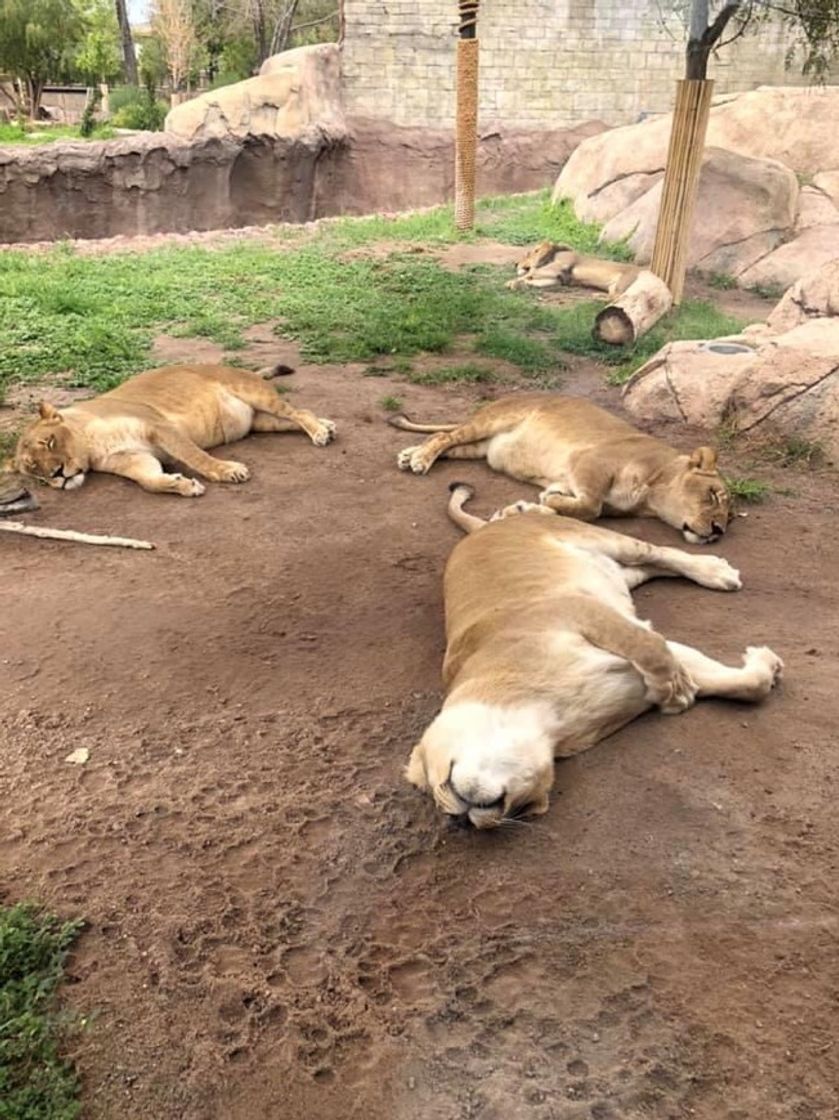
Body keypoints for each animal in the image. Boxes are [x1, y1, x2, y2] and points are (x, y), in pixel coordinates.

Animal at [12, 362, 333, 499]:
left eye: (50, 442)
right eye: (35, 471)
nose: (57, 476)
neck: (91, 447)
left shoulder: (159, 426)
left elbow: (195, 456)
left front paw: (229, 471)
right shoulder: (132, 459)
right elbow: (148, 481)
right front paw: (182, 484)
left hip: (255, 394)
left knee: (298, 412)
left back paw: (320, 433)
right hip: (261, 421)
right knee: (296, 418)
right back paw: (327, 426)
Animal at [392, 394, 725, 546]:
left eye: (730, 517)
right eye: (713, 495)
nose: (719, 531)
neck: (650, 498)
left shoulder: (582, 488)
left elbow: (574, 511)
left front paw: (525, 509)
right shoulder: (591, 460)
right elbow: (591, 508)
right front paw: (544, 502)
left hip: (480, 448)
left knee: (445, 441)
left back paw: (410, 455)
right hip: (490, 422)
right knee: (444, 436)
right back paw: (420, 460)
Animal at [405, 483, 784, 833]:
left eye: (442, 782)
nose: (459, 821)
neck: (547, 722)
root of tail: (479, 530)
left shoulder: (575, 609)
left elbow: (649, 647)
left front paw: (673, 690)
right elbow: (746, 684)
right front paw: (762, 665)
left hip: (599, 540)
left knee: (660, 552)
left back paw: (715, 571)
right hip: (620, 574)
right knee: (649, 566)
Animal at [506, 239, 636, 295]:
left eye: (527, 254)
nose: (515, 264)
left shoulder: (557, 266)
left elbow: (532, 272)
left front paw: (512, 282)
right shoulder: (557, 279)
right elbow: (533, 279)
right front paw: (519, 284)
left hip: (622, 285)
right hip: (613, 288)